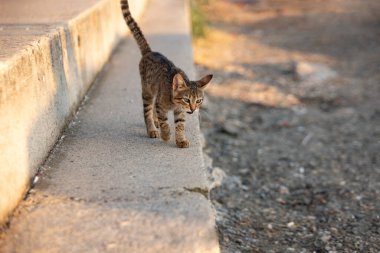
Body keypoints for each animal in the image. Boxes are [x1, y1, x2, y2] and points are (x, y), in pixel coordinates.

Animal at [121, 0, 212, 148]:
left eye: (199, 100)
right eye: (187, 99)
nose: (193, 110)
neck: (174, 102)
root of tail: (149, 52)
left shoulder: (180, 111)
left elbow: (180, 125)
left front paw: (180, 140)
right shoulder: (161, 105)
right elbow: (164, 121)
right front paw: (166, 134)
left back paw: (154, 121)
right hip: (147, 91)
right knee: (147, 110)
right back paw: (152, 128)